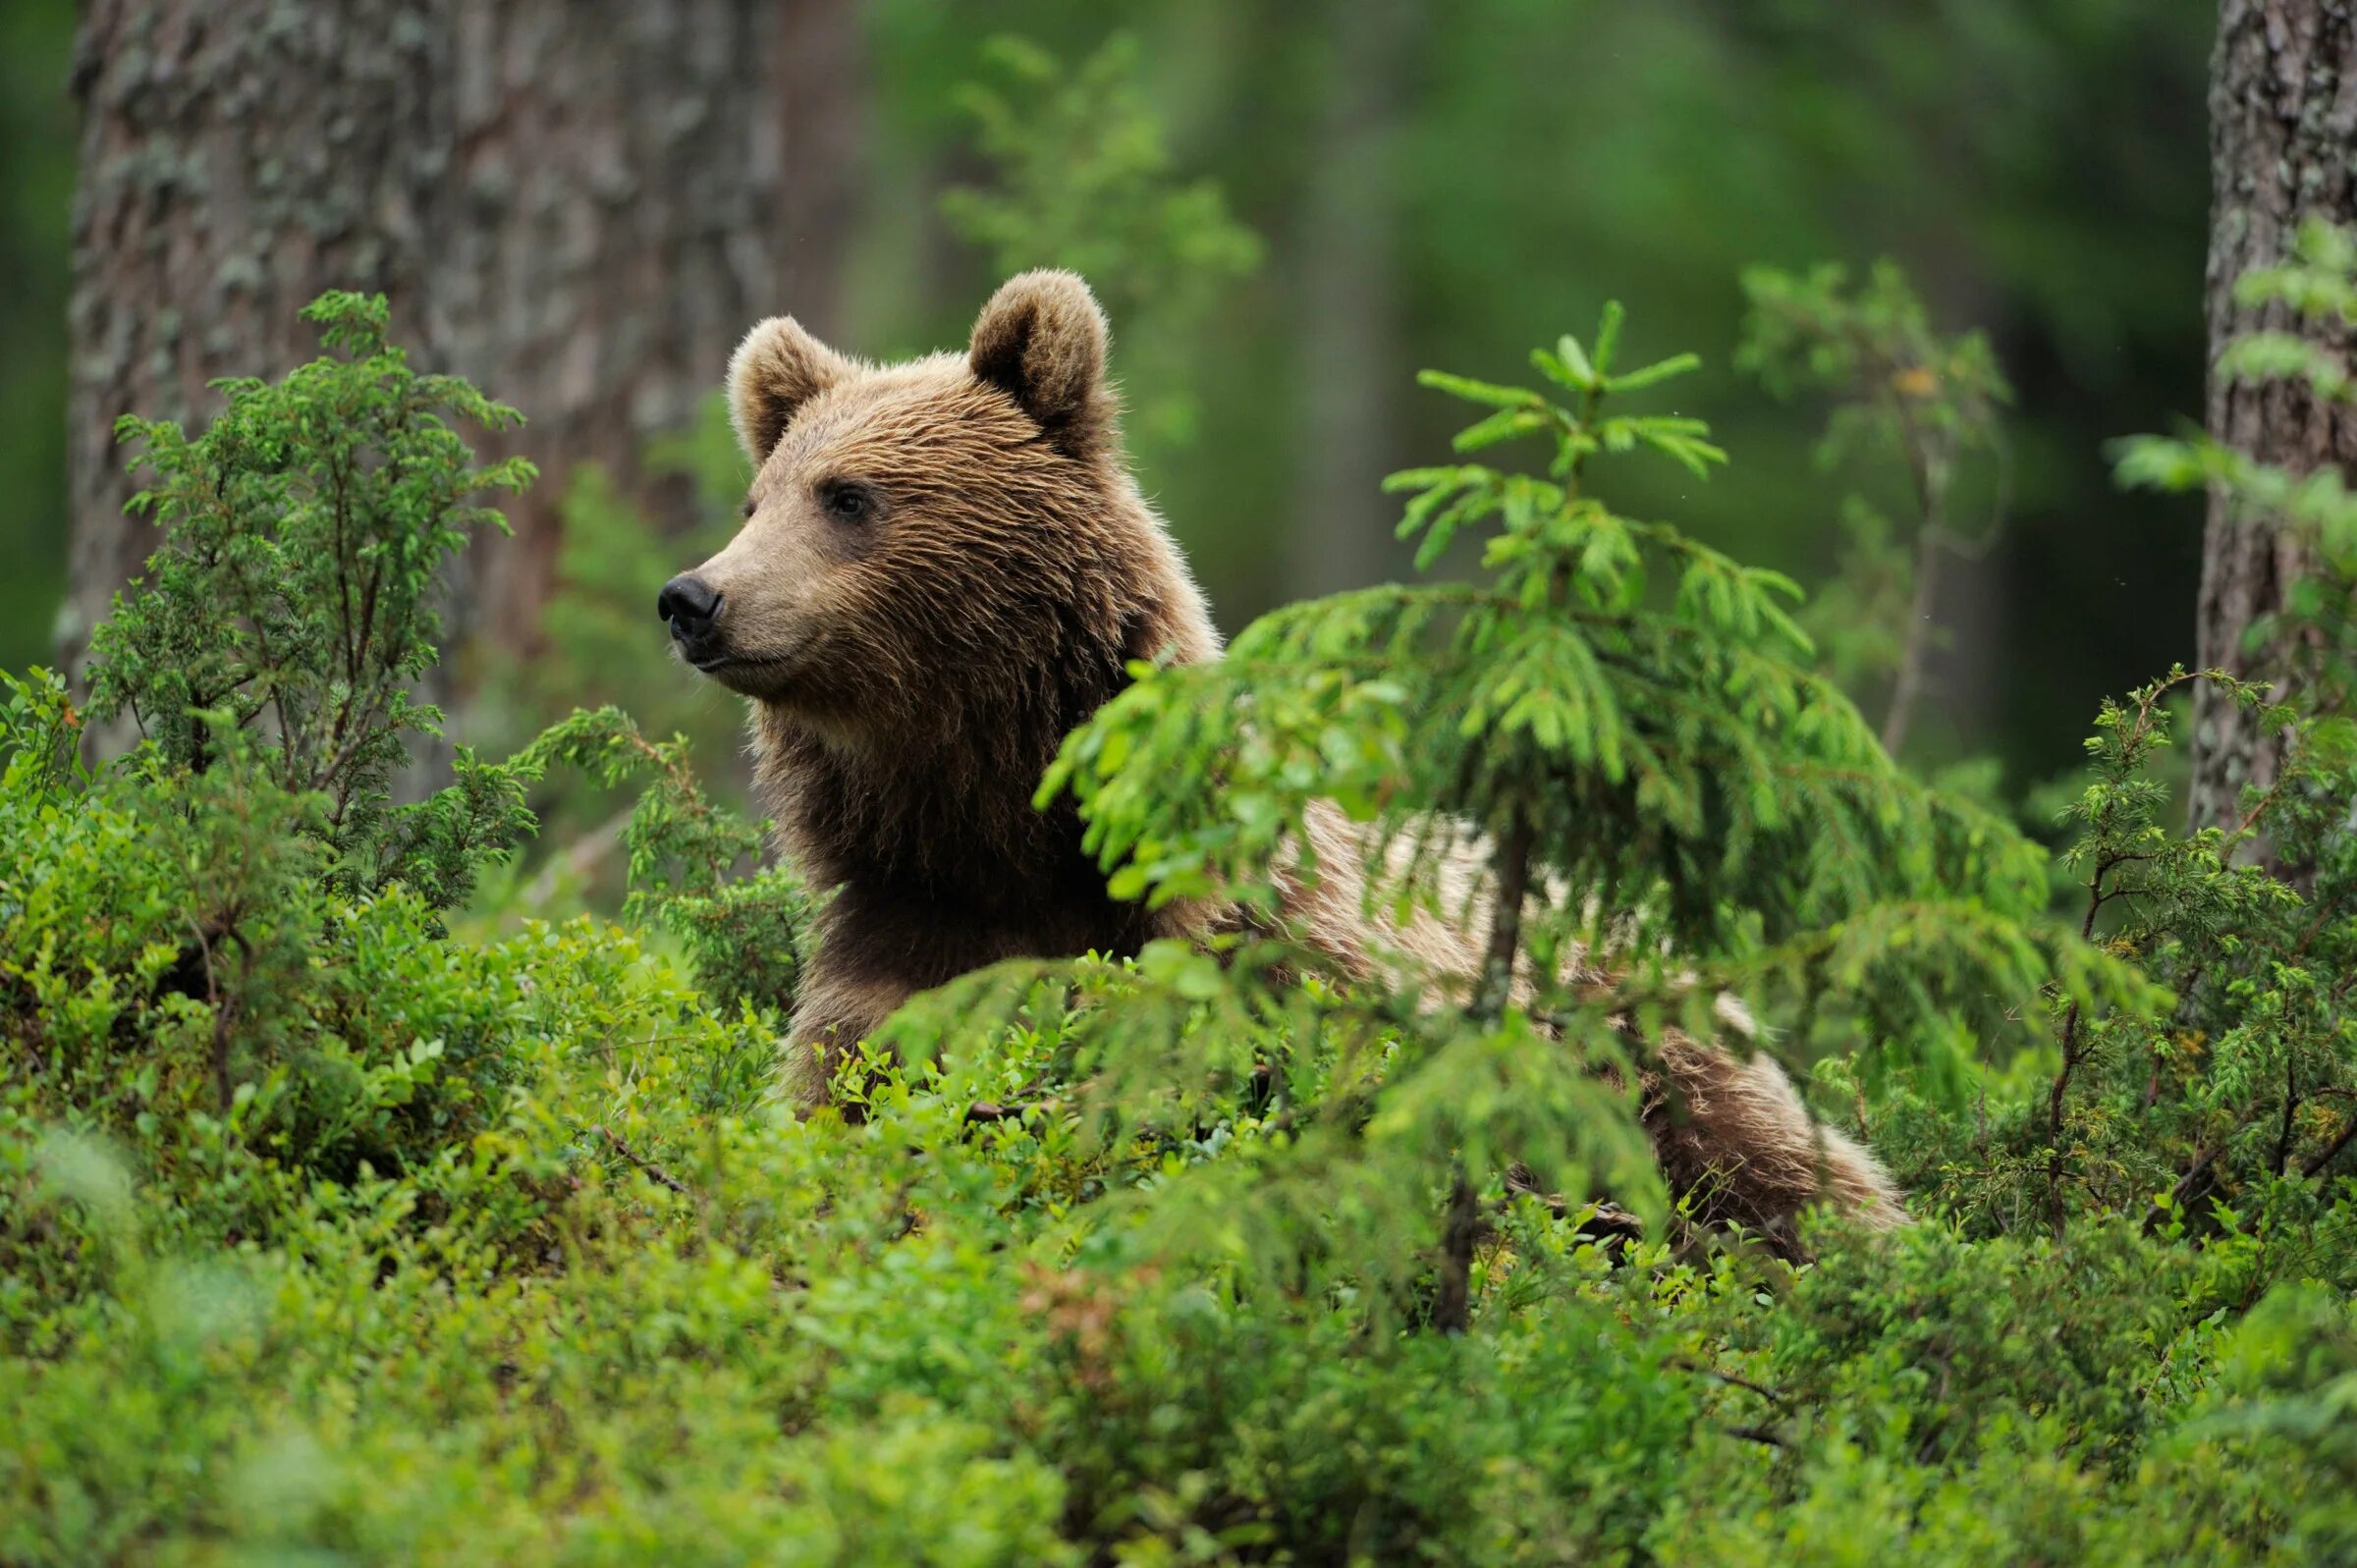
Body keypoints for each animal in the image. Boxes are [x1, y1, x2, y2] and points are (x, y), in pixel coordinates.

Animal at [655, 262, 1904, 1225]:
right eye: (758, 499)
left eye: (848, 496)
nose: (695, 598)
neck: (1009, 825)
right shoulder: (902, 948)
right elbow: (852, 1106)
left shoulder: (1263, 956)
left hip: (1646, 1047)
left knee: (1786, 1177)